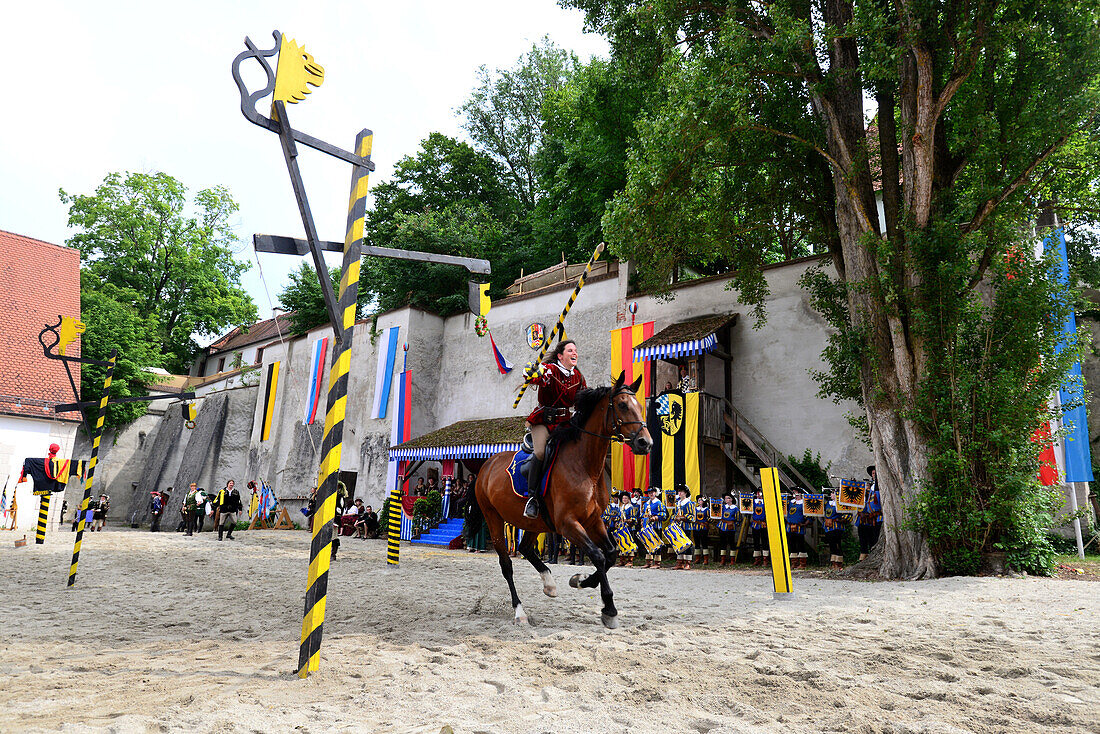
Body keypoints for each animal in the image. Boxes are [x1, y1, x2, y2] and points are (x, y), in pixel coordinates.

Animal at [473, 376, 651, 629]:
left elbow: (610, 553)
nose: (646, 443)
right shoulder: (568, 524)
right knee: (506, 565)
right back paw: (519, 611)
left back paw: (549, 584)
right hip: (494, 519)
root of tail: (486, 465)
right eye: (623, 405)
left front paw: (581, 581)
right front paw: (609, 608)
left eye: (640, 406)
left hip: (533, 522)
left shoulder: (593, 520)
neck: (585, 465)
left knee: (525, 548)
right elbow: (597, 555)